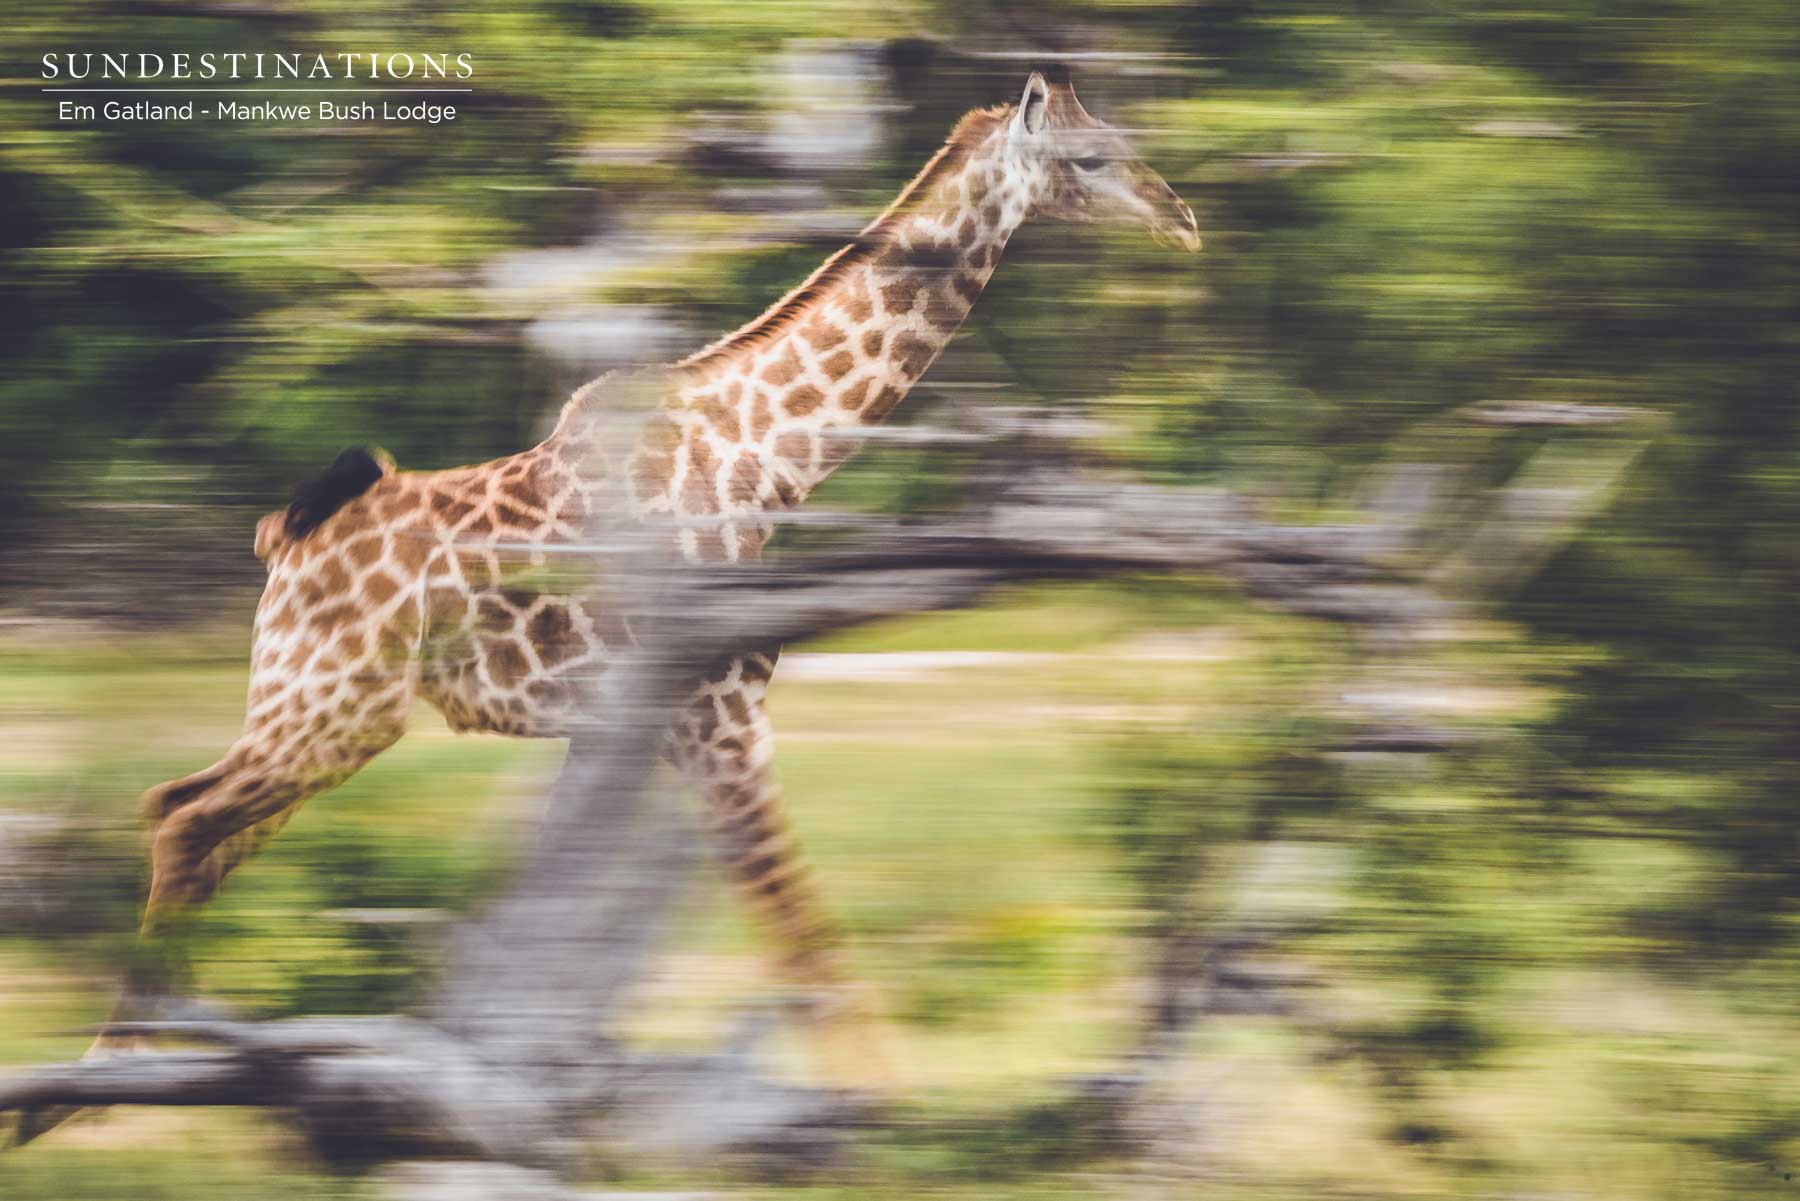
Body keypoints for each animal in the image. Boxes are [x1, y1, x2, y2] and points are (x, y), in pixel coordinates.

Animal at [109, 73, 1198, 1088]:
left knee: (191, 816)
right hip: (336, 706)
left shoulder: (629, 728)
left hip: (311, 709)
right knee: (185, 816)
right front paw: (880, 1109)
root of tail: (283, 540)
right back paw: (116, 1068)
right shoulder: (715, 715)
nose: (1182, 218)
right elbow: (799, 930)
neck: (766, 461)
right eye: (1092, 158)